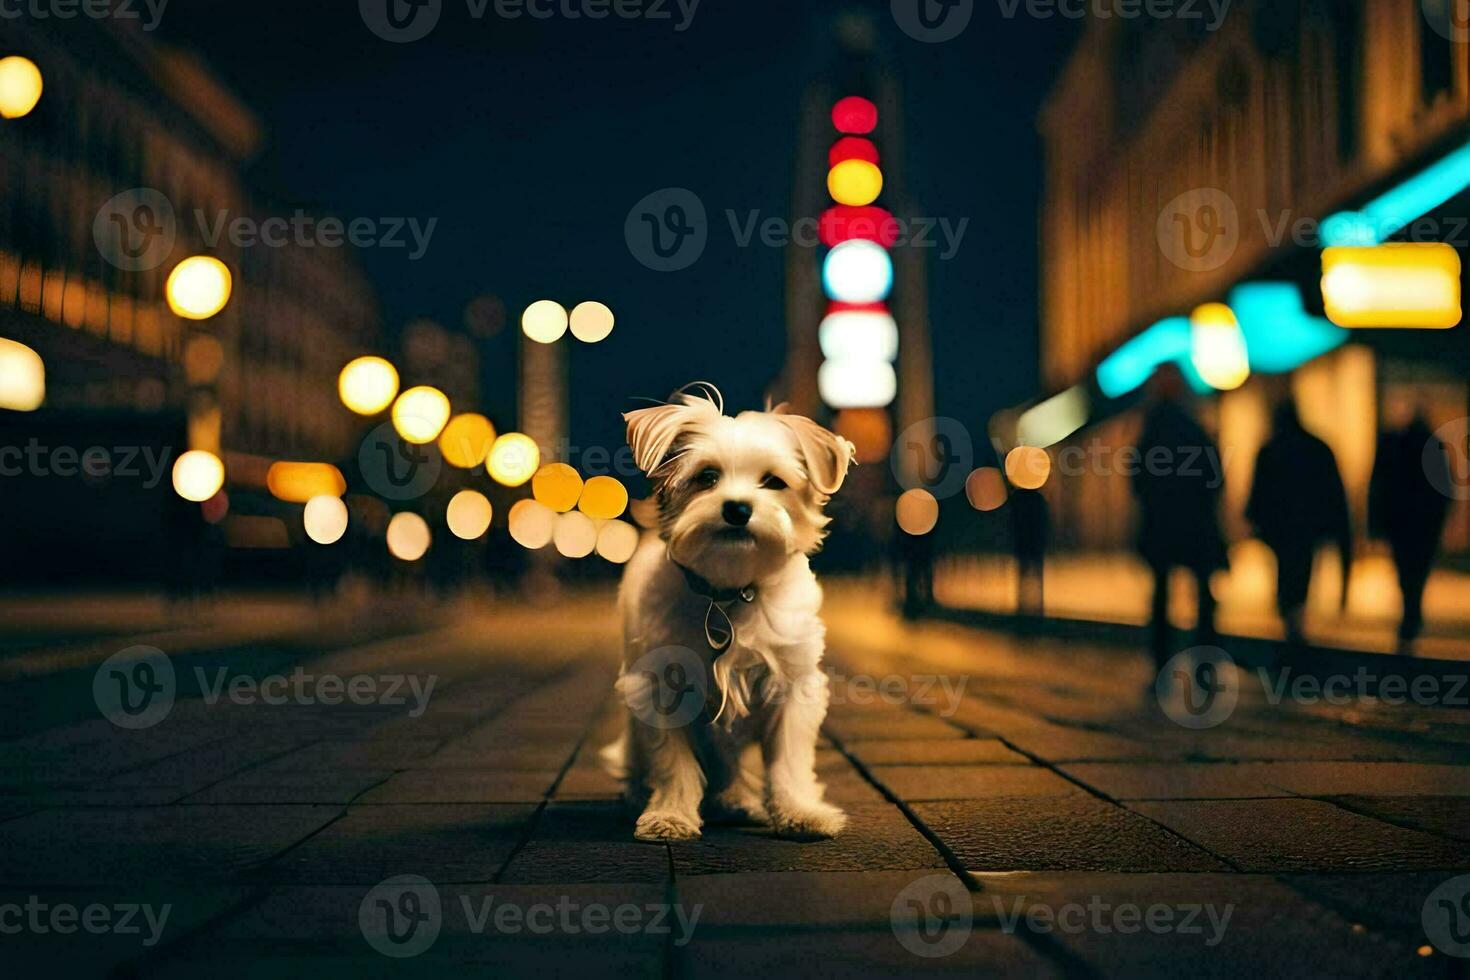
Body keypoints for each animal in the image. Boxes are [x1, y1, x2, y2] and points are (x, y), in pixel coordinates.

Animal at [599, 384, 858, 846]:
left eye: (774, 482)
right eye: (706, 477)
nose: (737, 508)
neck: (730, 592)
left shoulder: (793, 686)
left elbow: (789, 761)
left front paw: (799, 811)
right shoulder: (660, 689)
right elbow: (674, 763)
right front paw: (670, 813)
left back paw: (737, 799)